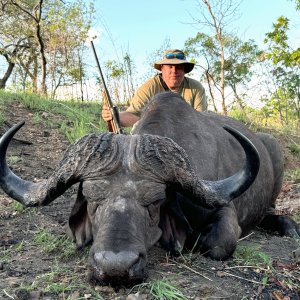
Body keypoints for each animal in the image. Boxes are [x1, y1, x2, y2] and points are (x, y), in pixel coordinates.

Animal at [0, 91, 298, 284]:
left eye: (155, 201)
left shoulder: (223, 210)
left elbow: (218, 244)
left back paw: (289, 227)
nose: (115, 268)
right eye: (92, 198)